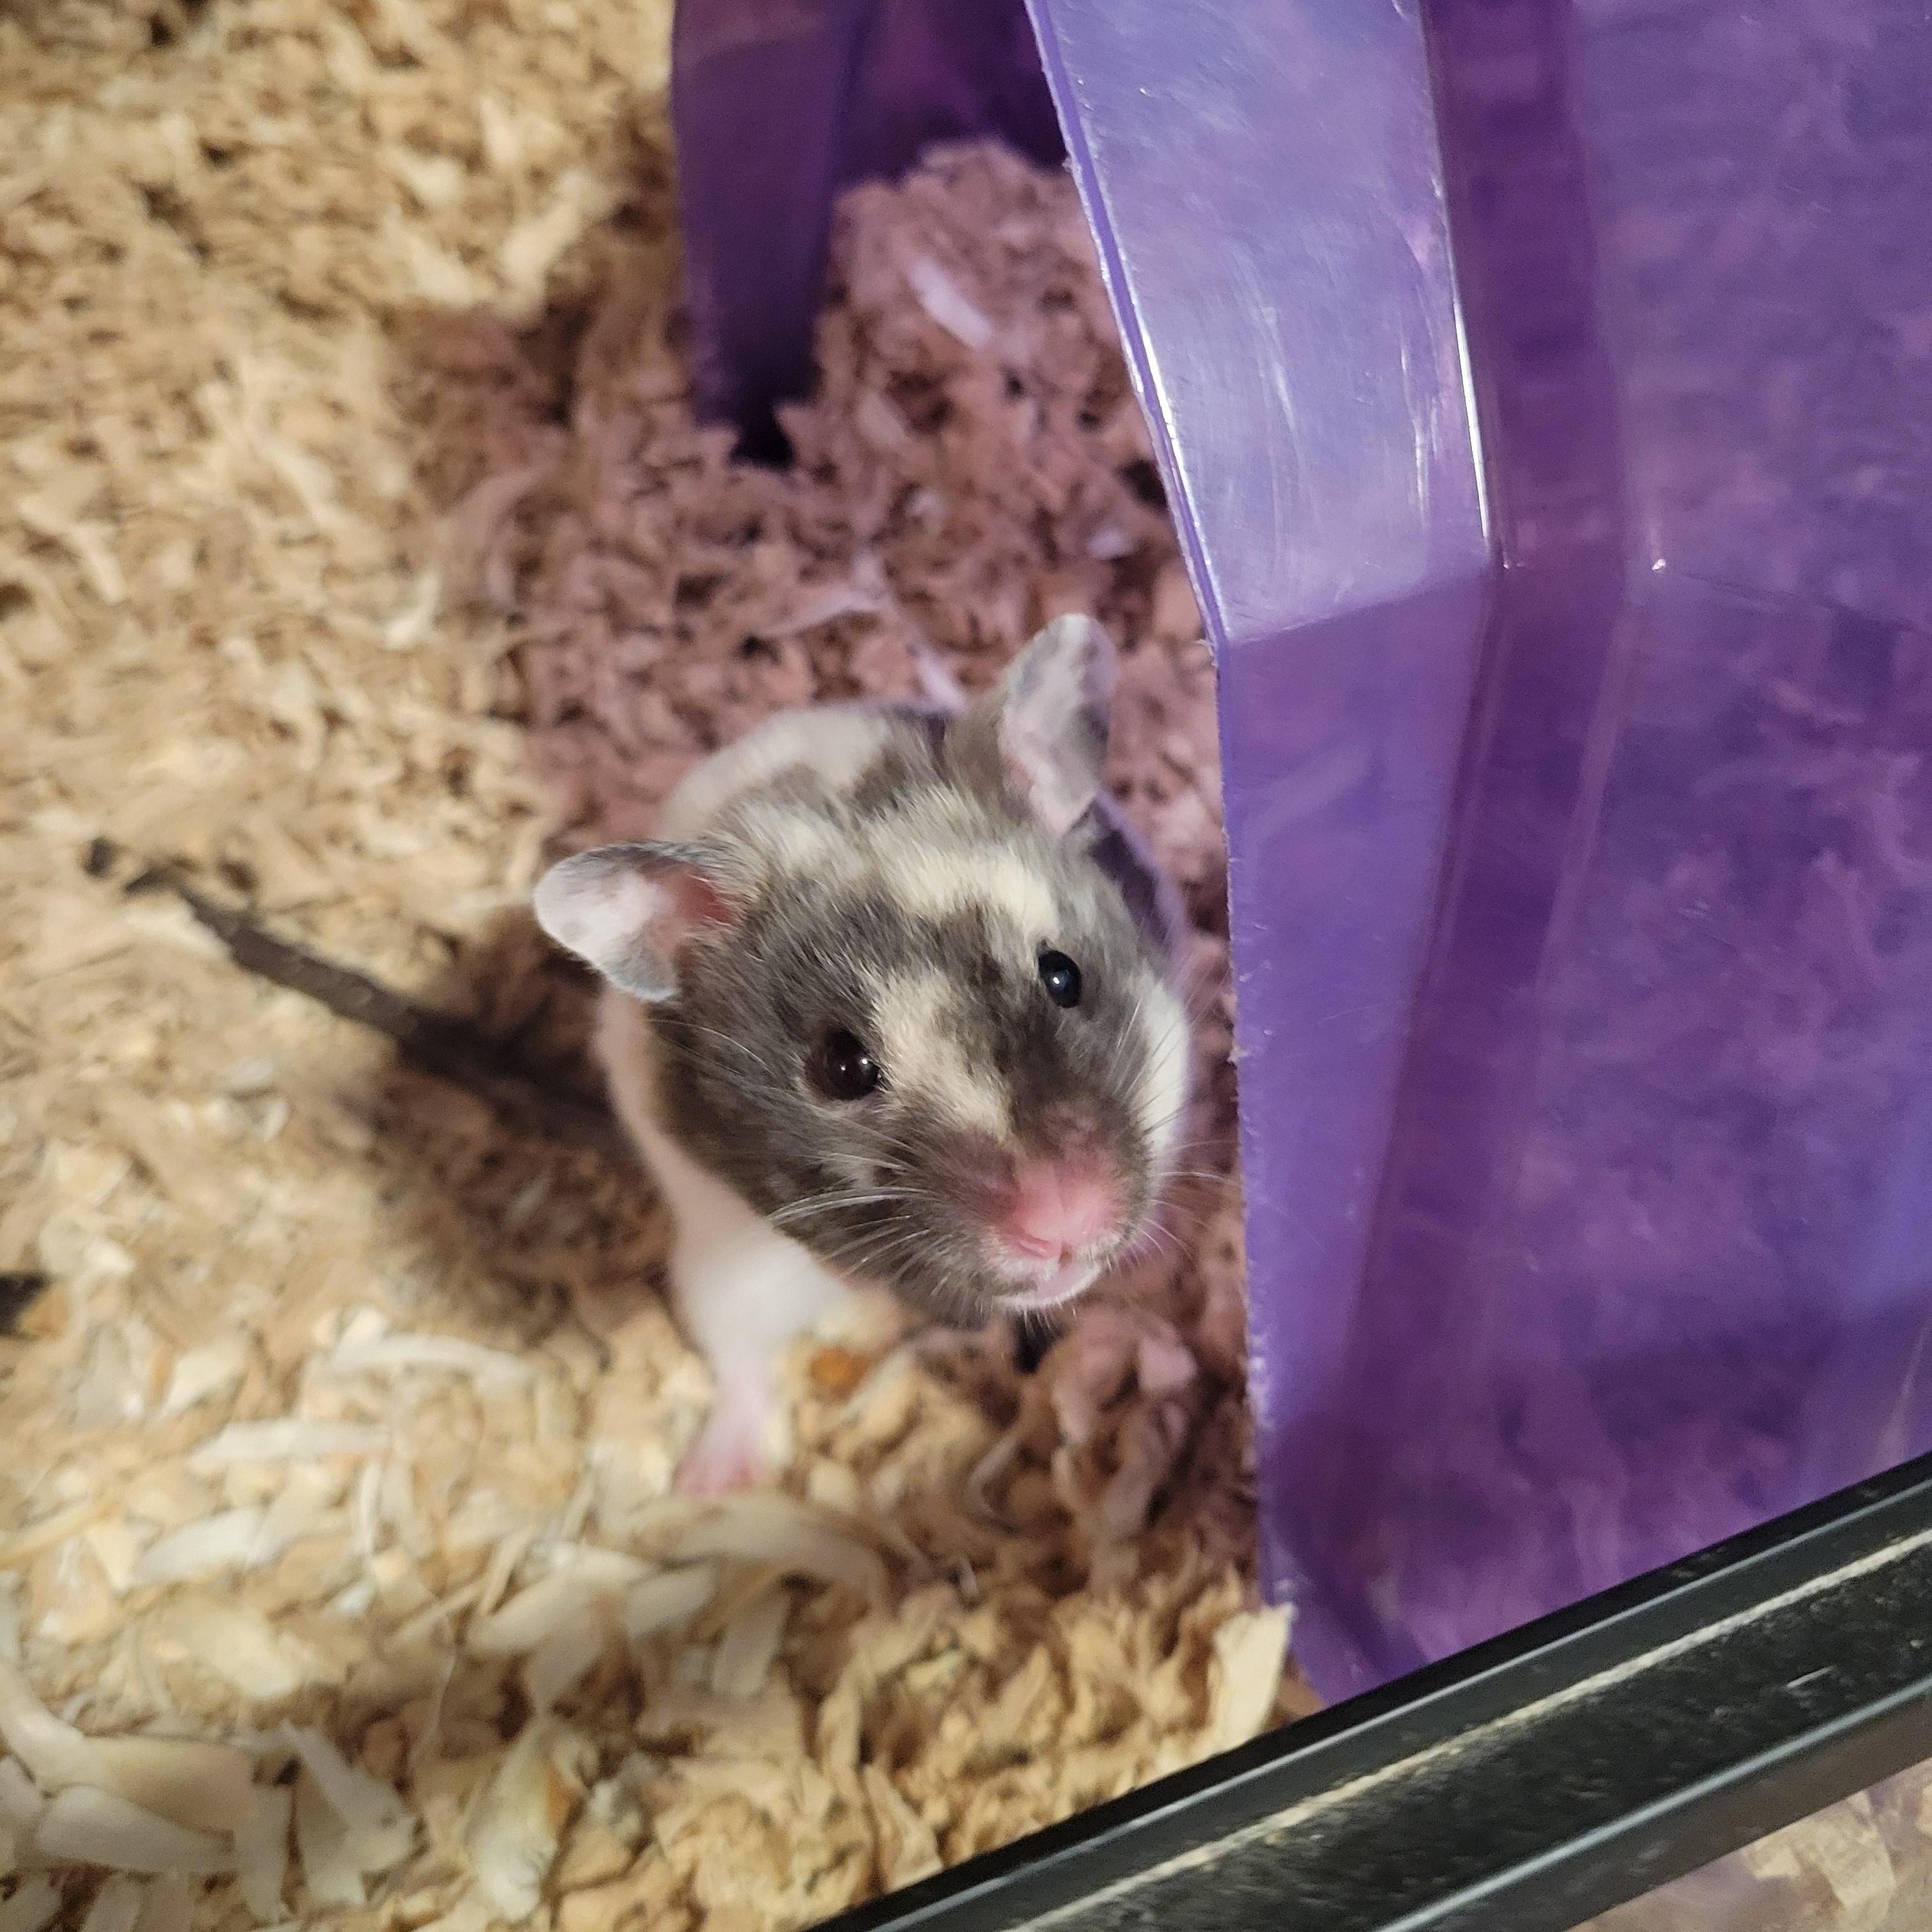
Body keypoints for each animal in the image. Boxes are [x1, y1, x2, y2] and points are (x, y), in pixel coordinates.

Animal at [533, 615, 1192, 1492]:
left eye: (1063, 976)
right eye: (840, 1068)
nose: (1063, 1223)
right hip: (717, 1276)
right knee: (740, 1365)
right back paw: (709, 1482)